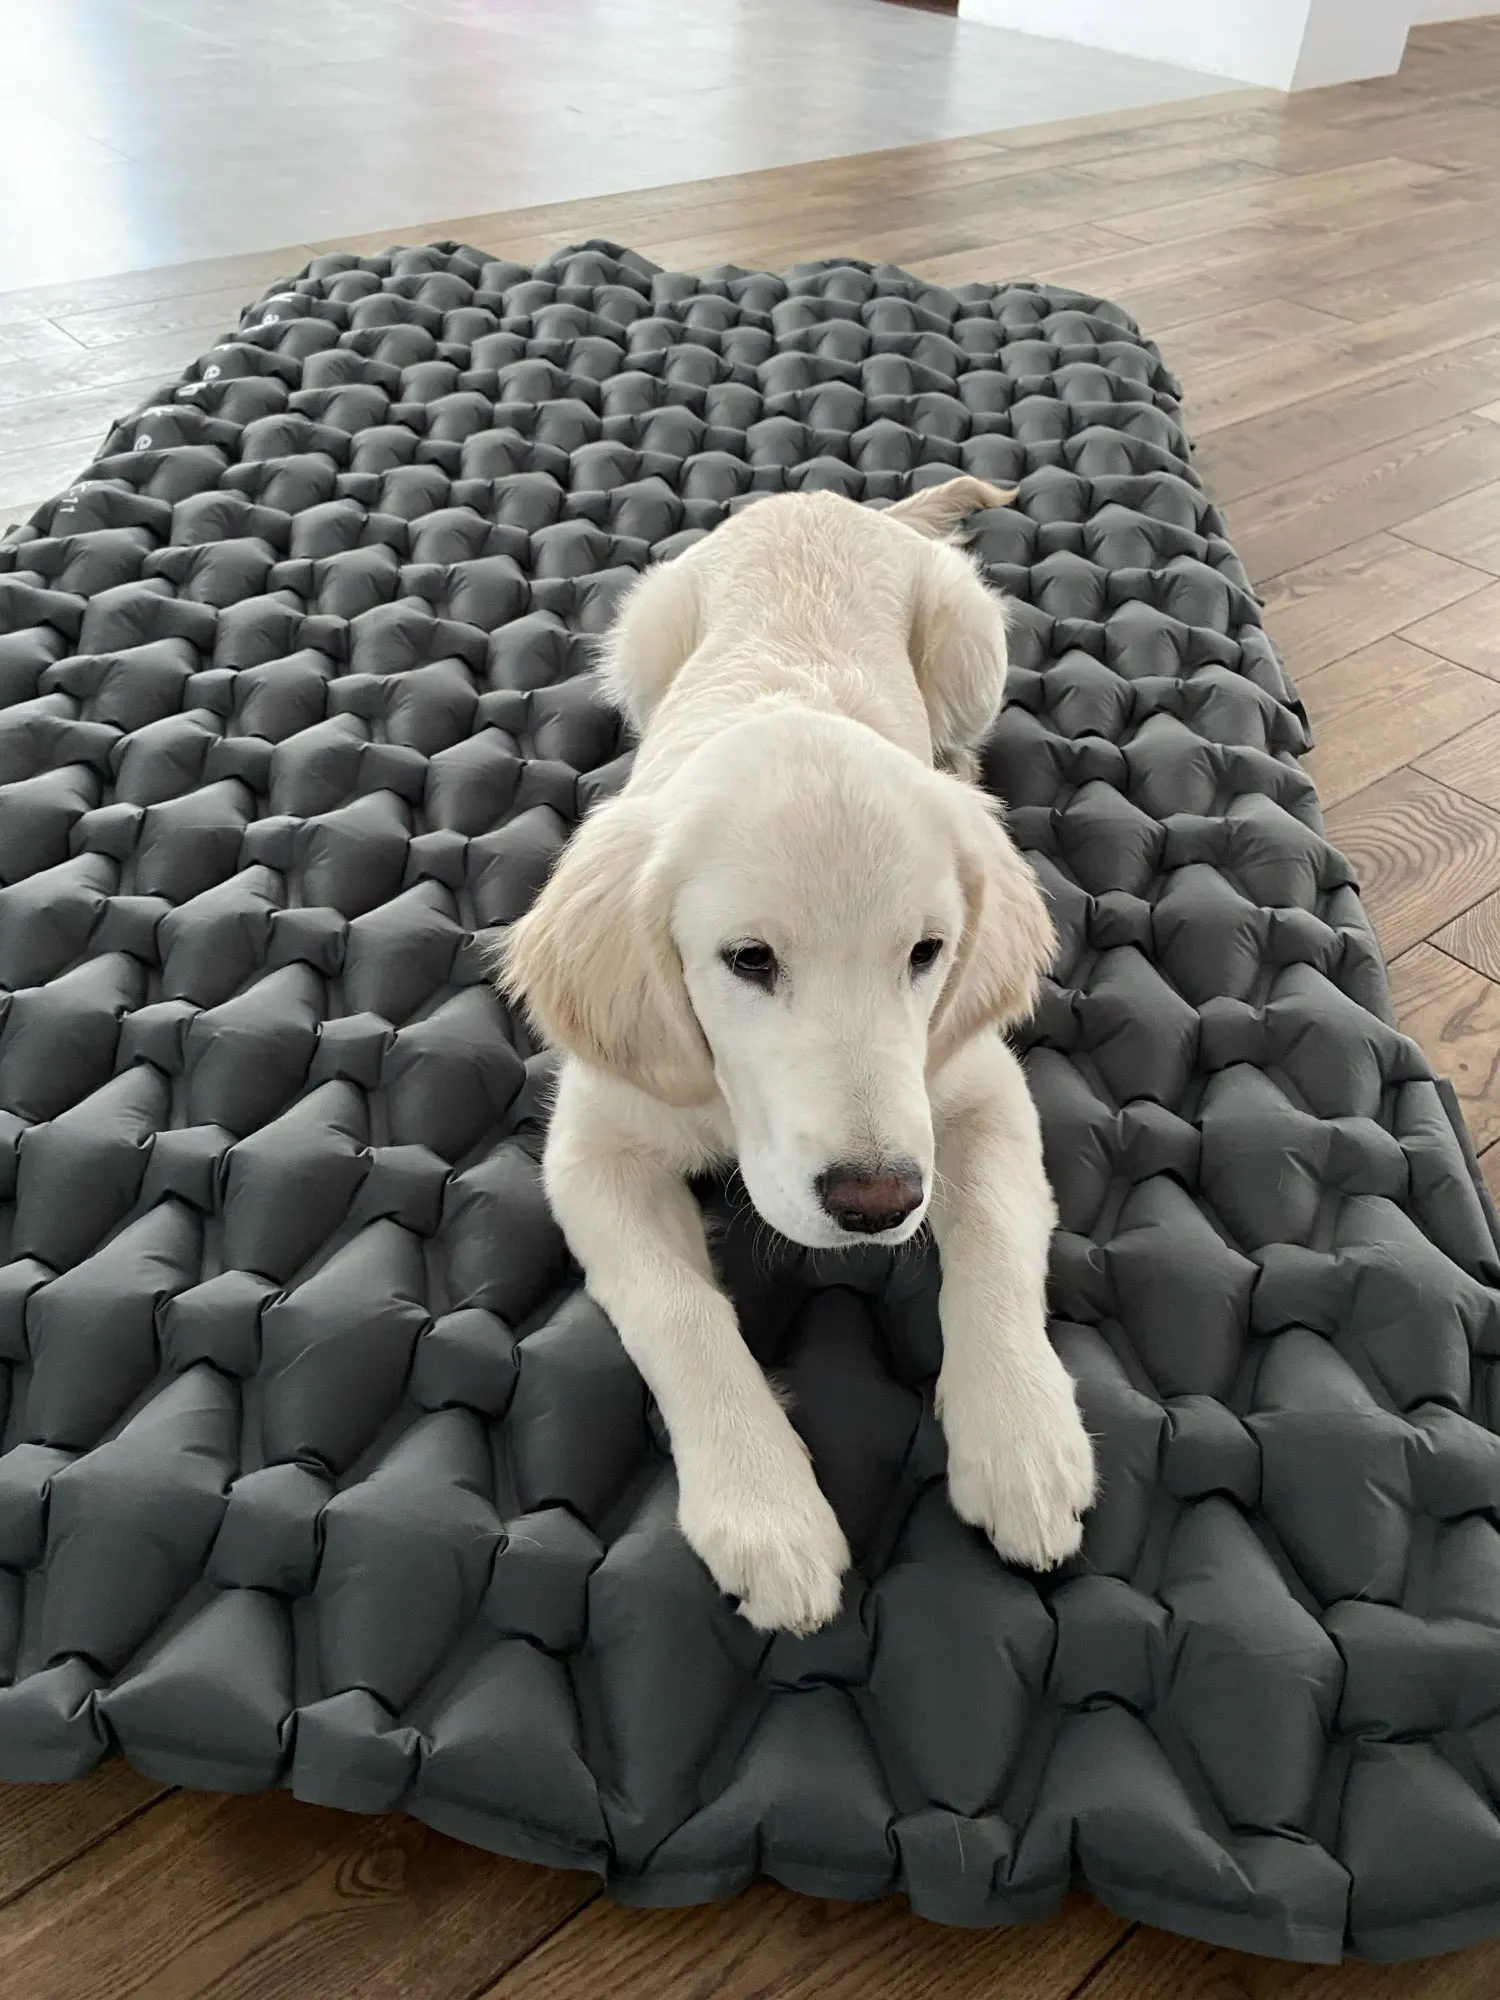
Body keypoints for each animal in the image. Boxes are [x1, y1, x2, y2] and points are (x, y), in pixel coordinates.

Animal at [498, 474, 1095, 1634]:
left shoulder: (976, 1087)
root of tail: (822, 497)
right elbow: (678, 1310)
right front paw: (764, 1508)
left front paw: (1023, 1438)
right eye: (748, 959)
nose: (874, 1201)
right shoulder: (593, 1151)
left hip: (972, 642)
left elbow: (995, 1236)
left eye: (926, 952)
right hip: (646, 629)